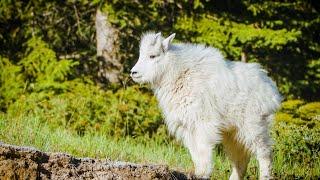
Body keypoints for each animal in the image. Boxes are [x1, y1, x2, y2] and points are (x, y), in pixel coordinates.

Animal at [129, 32, 280, 179]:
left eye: (152, 56)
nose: (133, 72)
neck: (177, 73)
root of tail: (271, 89)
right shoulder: (188, 126)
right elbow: (194, 152)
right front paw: (198, 173)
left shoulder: (203, 123)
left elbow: (202, 149)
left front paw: (203, 174)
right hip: (233, 132)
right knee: (241, 159)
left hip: (254, 124)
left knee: (264, 152)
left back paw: (265, 175)